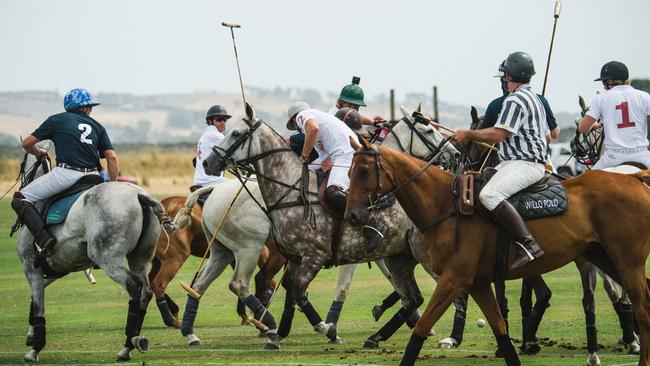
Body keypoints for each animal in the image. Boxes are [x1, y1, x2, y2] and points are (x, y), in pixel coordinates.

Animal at [15, 142, 172, 362]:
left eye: (21, 163)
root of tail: (138, 195)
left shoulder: (31, 267)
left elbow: (38, 305)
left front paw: (34, 349)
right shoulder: (56, 268)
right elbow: (35, 300)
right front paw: (30, 337)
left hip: (107, 256)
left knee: (133, 286)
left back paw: (132, 340)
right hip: (139, 258)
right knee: (146, 291)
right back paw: (128, 346)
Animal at [148, 196, 282, 328]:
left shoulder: (237, 256)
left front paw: (244, 315)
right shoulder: (259, 251)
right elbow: (268, 280)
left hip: (158, 261)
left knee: (150, 282)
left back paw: (174, 310)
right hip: (175, 258)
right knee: (158, 284)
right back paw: (171, 320)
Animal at [176, 104, 460, 348]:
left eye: (236, 133)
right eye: (428, 130)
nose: (208, 162)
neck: (290, 189)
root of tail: (213, 191)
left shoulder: (320, 255)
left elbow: (302, 292)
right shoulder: (308, 256)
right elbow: (301, 292)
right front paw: (319, 329)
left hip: (228, 249)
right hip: (247, 247)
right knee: (237, 283)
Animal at [346, 138, 648, 366]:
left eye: (363, 171)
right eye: (349, 172)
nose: (352, 215)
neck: (445, 206)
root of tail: (636, 178)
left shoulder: (454, 279)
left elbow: (420, 330)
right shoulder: (477, 283)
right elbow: (500, 329)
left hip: (627, 261)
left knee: (641, 306)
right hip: (603, 258)